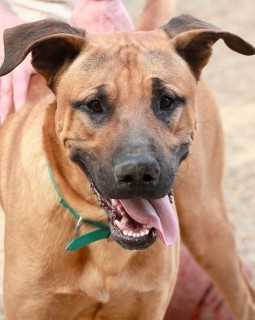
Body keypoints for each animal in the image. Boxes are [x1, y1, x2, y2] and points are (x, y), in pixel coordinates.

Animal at [0, 1, 255, 318]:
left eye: (166, 100)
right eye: (94, 105)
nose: (138, 173)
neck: (103, 238)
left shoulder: (148, 306)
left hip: (206, 221)